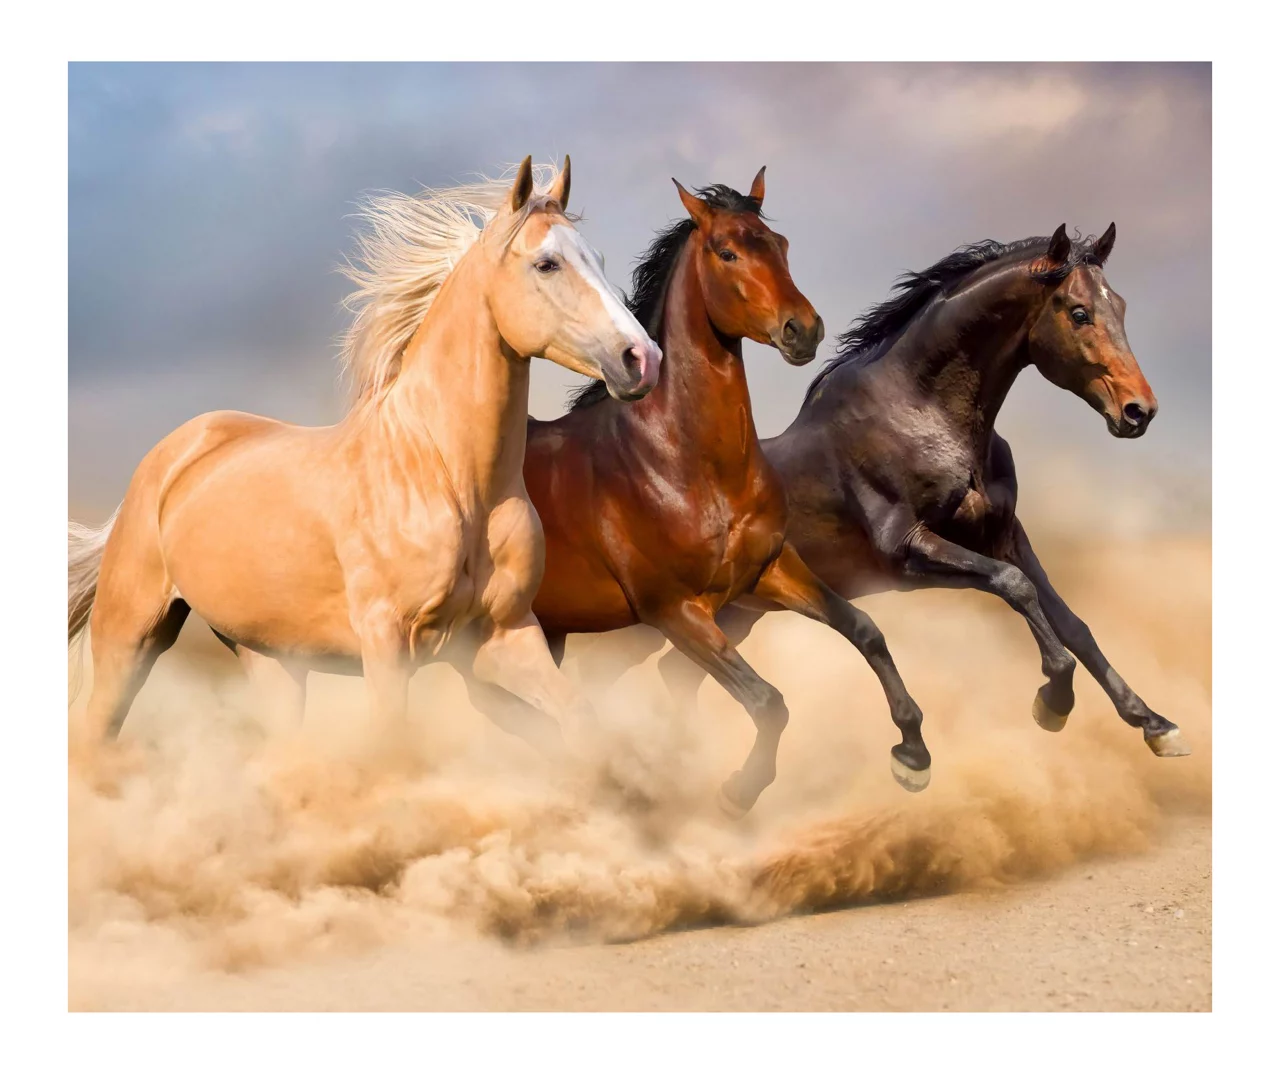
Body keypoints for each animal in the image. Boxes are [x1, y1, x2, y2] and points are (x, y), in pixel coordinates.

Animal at [67, 156, 662, 746]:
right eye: (546, 264)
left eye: (598, 259)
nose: (642, 359)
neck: (450, 479)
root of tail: (171, 455)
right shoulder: (387, 644)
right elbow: (392, 743)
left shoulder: (505, 637)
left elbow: (580, 720)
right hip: (130, 638)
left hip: (272, 660)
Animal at [462, 170, 930, 817]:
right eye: (727, 251)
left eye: (780, 245)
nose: (803, 329)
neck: (685, 464)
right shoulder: (675, 611)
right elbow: (767, 701)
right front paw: (738, 791)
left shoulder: (769, 570)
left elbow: (864, 629)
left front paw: (912, 754)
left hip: (545, 633)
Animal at [636, 223, 1190, 776]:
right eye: (1078, 312)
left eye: (1120, 306)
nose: (1139, 411)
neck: (923, 414)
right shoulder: (908, 550)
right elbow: (1015, 588)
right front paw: (1053, 701)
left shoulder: (1004, 535)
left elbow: (1071, 622)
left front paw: (1155, 725)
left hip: (736, 614)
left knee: (677, 673)